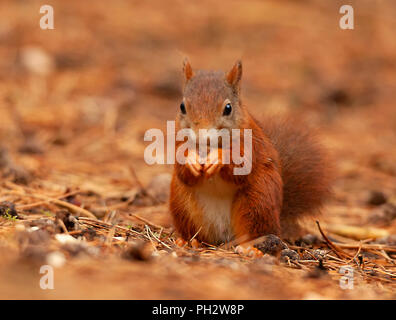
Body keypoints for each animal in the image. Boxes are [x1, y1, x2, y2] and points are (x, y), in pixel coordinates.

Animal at [169, 59, 332, 255]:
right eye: (182, 107)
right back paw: (189, 242)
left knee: (253, 231)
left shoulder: (252, 145)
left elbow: (242, 165)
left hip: (257, 200)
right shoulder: (178, 142)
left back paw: (249, 248)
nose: (202, 137)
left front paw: (219, 157)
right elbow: (181, 170)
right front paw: (190, 160)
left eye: (228, 108)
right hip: (182, 203)